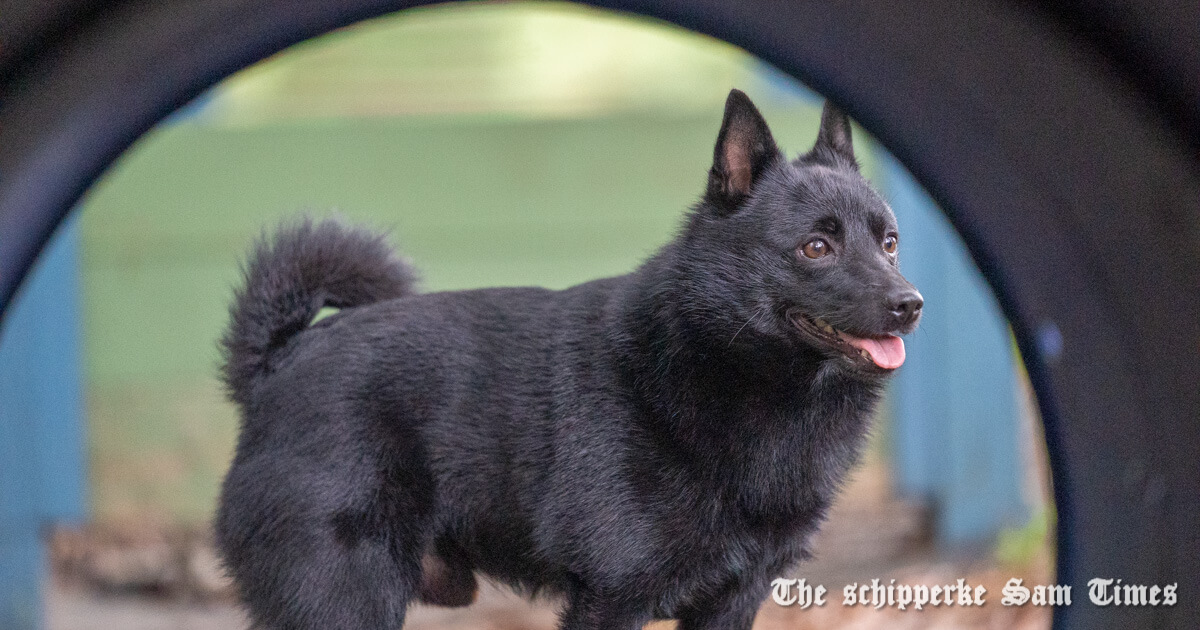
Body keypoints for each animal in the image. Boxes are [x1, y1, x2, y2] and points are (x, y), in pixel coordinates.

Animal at [220, 89, 921, 628]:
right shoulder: (612, 599)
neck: (716, 361)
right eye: (815, 247)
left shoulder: (732, 600)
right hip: (346, 595)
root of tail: (279, 362)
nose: (909, 305)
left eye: (889, 242)